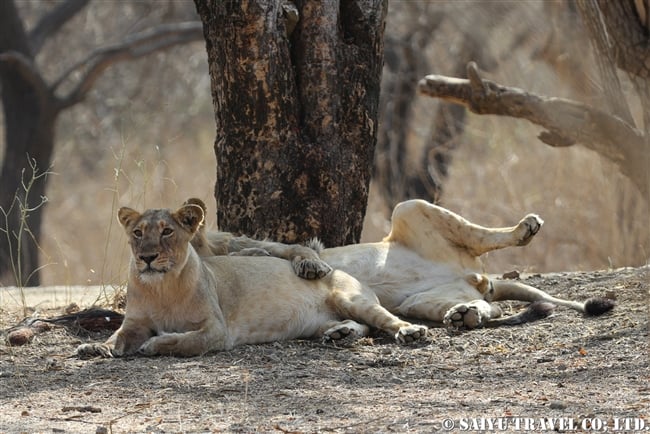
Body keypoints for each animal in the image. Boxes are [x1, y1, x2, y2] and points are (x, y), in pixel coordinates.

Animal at [74, 202, 426, 358]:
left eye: (166, 231)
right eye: (137, 233)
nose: (146, 257)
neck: (162, 288)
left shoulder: (217, 330)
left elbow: (186, 342)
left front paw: (155, 344)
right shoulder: (133, 323)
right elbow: (116, 337)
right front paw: (96, 348)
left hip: (350, 298)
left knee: (385, 320)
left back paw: (410, 331)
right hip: (320, 321)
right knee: (359, 325)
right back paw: (340, 333)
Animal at [187, 198, 612, 328]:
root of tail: (476, 276)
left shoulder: (266, 243)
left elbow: (293, 250)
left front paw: (308, 266)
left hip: (409, 208)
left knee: (483, 236)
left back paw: (525, 228)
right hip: (421, 301)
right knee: (489, 306)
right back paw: (465, 315)